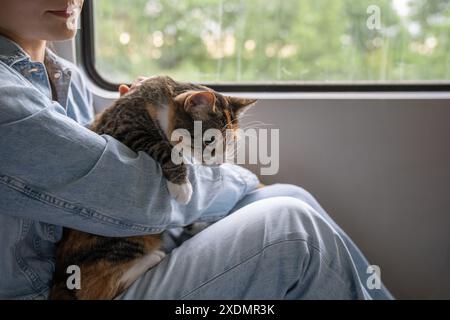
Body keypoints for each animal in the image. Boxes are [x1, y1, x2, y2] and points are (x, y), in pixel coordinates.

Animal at [50, 75, 256, 300]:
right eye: (210, 139)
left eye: (230, 142)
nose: (219, 162)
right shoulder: (126, 127)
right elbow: (163, 147)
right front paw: (182, 186)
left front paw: (197, 224)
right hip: (119, 240)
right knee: (99, 287)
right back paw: (153, 258)